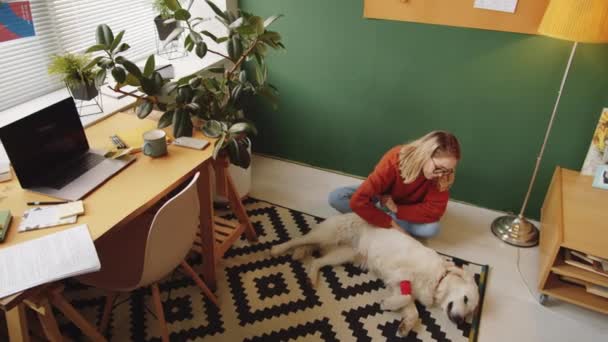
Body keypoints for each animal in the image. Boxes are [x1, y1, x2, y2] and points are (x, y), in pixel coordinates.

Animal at [270, 212, 480, 336]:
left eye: (470, 312)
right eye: (466, 299)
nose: (460, 321)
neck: (438, 279)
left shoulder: (399, 286)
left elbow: (412, 309)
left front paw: (405, 325)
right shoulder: (399, 273)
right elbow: (406, 297)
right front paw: (387, 304)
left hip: (343, 254)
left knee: (316, 261)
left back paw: (311, 277)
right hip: (326, 235)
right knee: (299, 240)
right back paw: (278, 249)